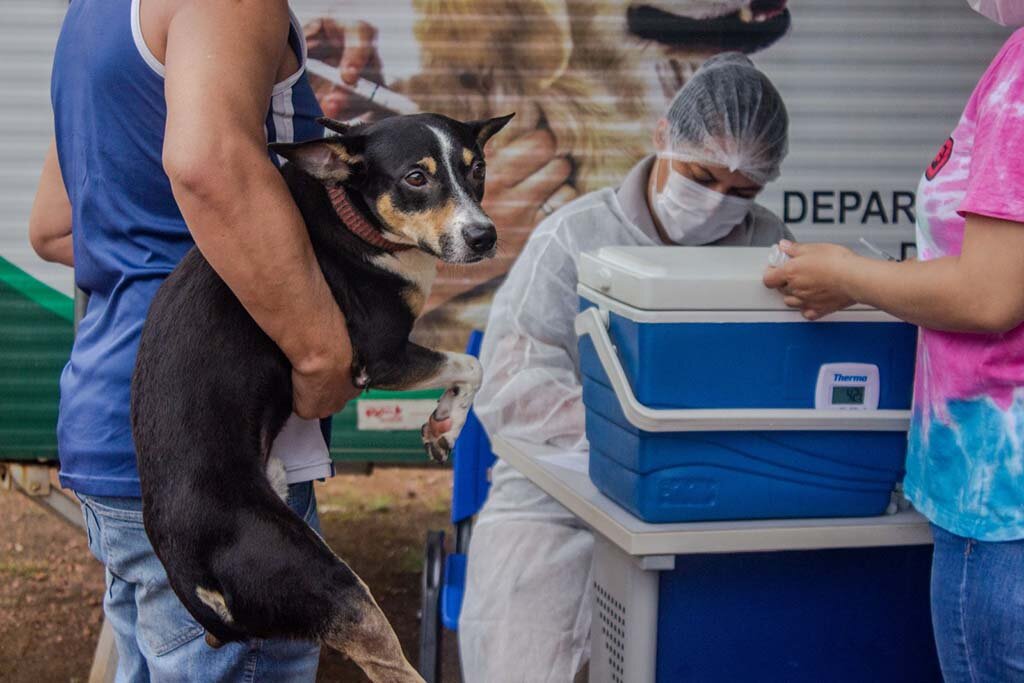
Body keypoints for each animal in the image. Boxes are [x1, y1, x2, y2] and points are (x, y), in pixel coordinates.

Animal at [129, 113, 512, 683]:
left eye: (478, 168)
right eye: (416, 178)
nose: (484, 237)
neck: (348, 213)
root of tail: (192, 576)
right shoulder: (378, 356)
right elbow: (473, 364)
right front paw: (446, 423)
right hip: (331, 585)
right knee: (392, 667)